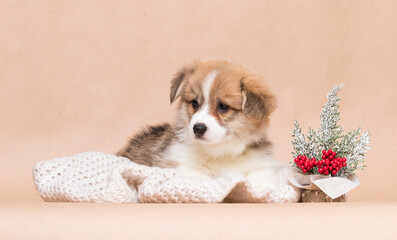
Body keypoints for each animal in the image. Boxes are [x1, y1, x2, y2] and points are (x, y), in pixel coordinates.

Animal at [117, 60, 284, 193]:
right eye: (194, 103)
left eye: (223, 107)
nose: (198, 128)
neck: (219, 153)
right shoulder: (180, 166)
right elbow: (201, 178)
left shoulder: (261, 167)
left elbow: (257, 178)